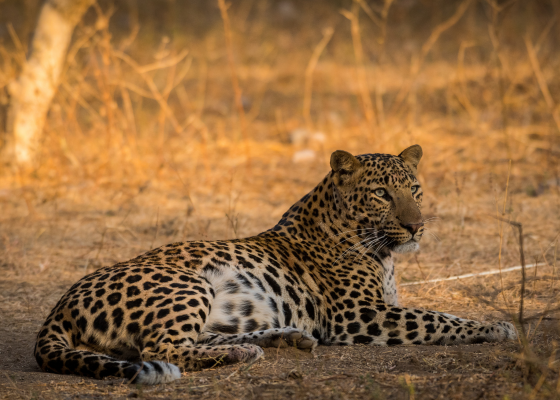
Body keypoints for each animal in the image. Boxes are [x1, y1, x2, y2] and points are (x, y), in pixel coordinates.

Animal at [34, 146, 516, 384]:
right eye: (381, 193)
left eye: (414, 189)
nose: (416, 227)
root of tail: (58, 307)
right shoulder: (360, 315)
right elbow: (437, 317)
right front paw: (497, 326)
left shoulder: (380, 306)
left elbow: (437, 313)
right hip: (186, 283)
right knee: (161, 348)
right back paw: (247, 350)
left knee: (195, 337)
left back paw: (280, 339)